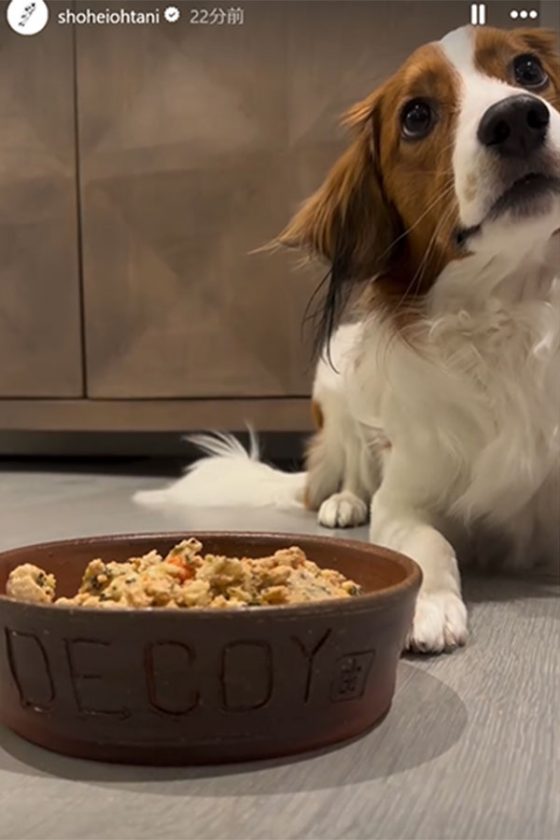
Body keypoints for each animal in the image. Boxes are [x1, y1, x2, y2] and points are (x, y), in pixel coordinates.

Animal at [136, 25, 560, 654]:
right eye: (416, 116)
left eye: (529, 70)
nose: (517, 118)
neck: (513, 307)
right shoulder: (405, 497)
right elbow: (430, 543)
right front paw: (429, 604)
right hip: (334, 380)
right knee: (350, 472)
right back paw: (340, 502)